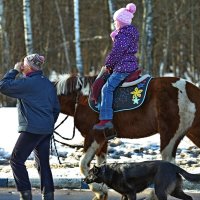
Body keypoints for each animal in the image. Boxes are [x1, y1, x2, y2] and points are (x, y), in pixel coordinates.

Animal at [55, 74, 200, 200]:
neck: (80, 99)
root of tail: (192, 90)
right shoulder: (103, 140)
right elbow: (100, 164)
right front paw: (102, 192)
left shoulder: (93, 136)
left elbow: (83, 164)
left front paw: (99, 190)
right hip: (192, 132)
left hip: (169, 134)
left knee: (168, 162)